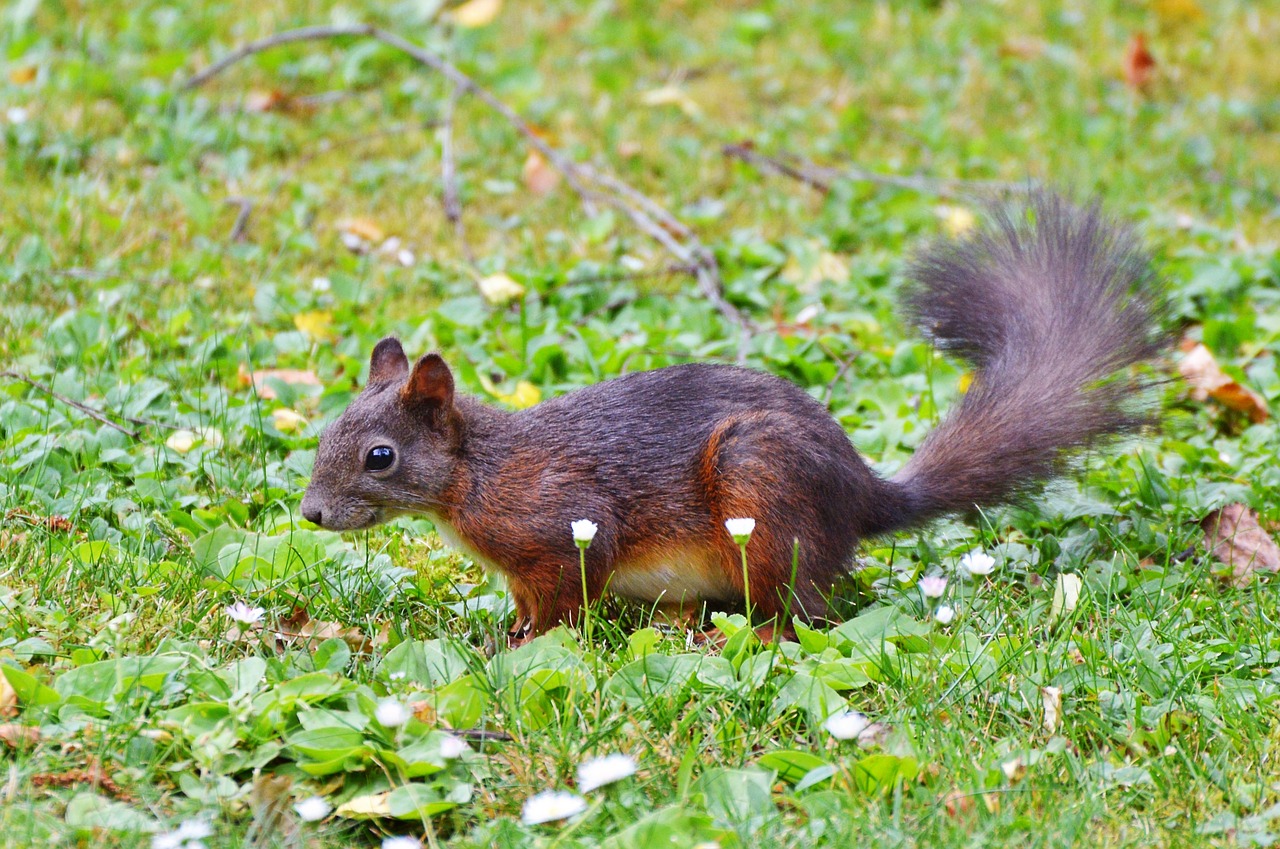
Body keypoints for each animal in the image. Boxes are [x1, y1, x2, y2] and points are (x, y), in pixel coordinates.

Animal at [302, 192, 1172, 645]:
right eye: (325, 432)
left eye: (379, 456)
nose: (309, 514)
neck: (473, 475)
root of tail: (862, 498)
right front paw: (503, 626)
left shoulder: (561, 522)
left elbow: (564, 594)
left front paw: (521, 642)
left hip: (763, 492)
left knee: (809, 608)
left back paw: (750, 635)